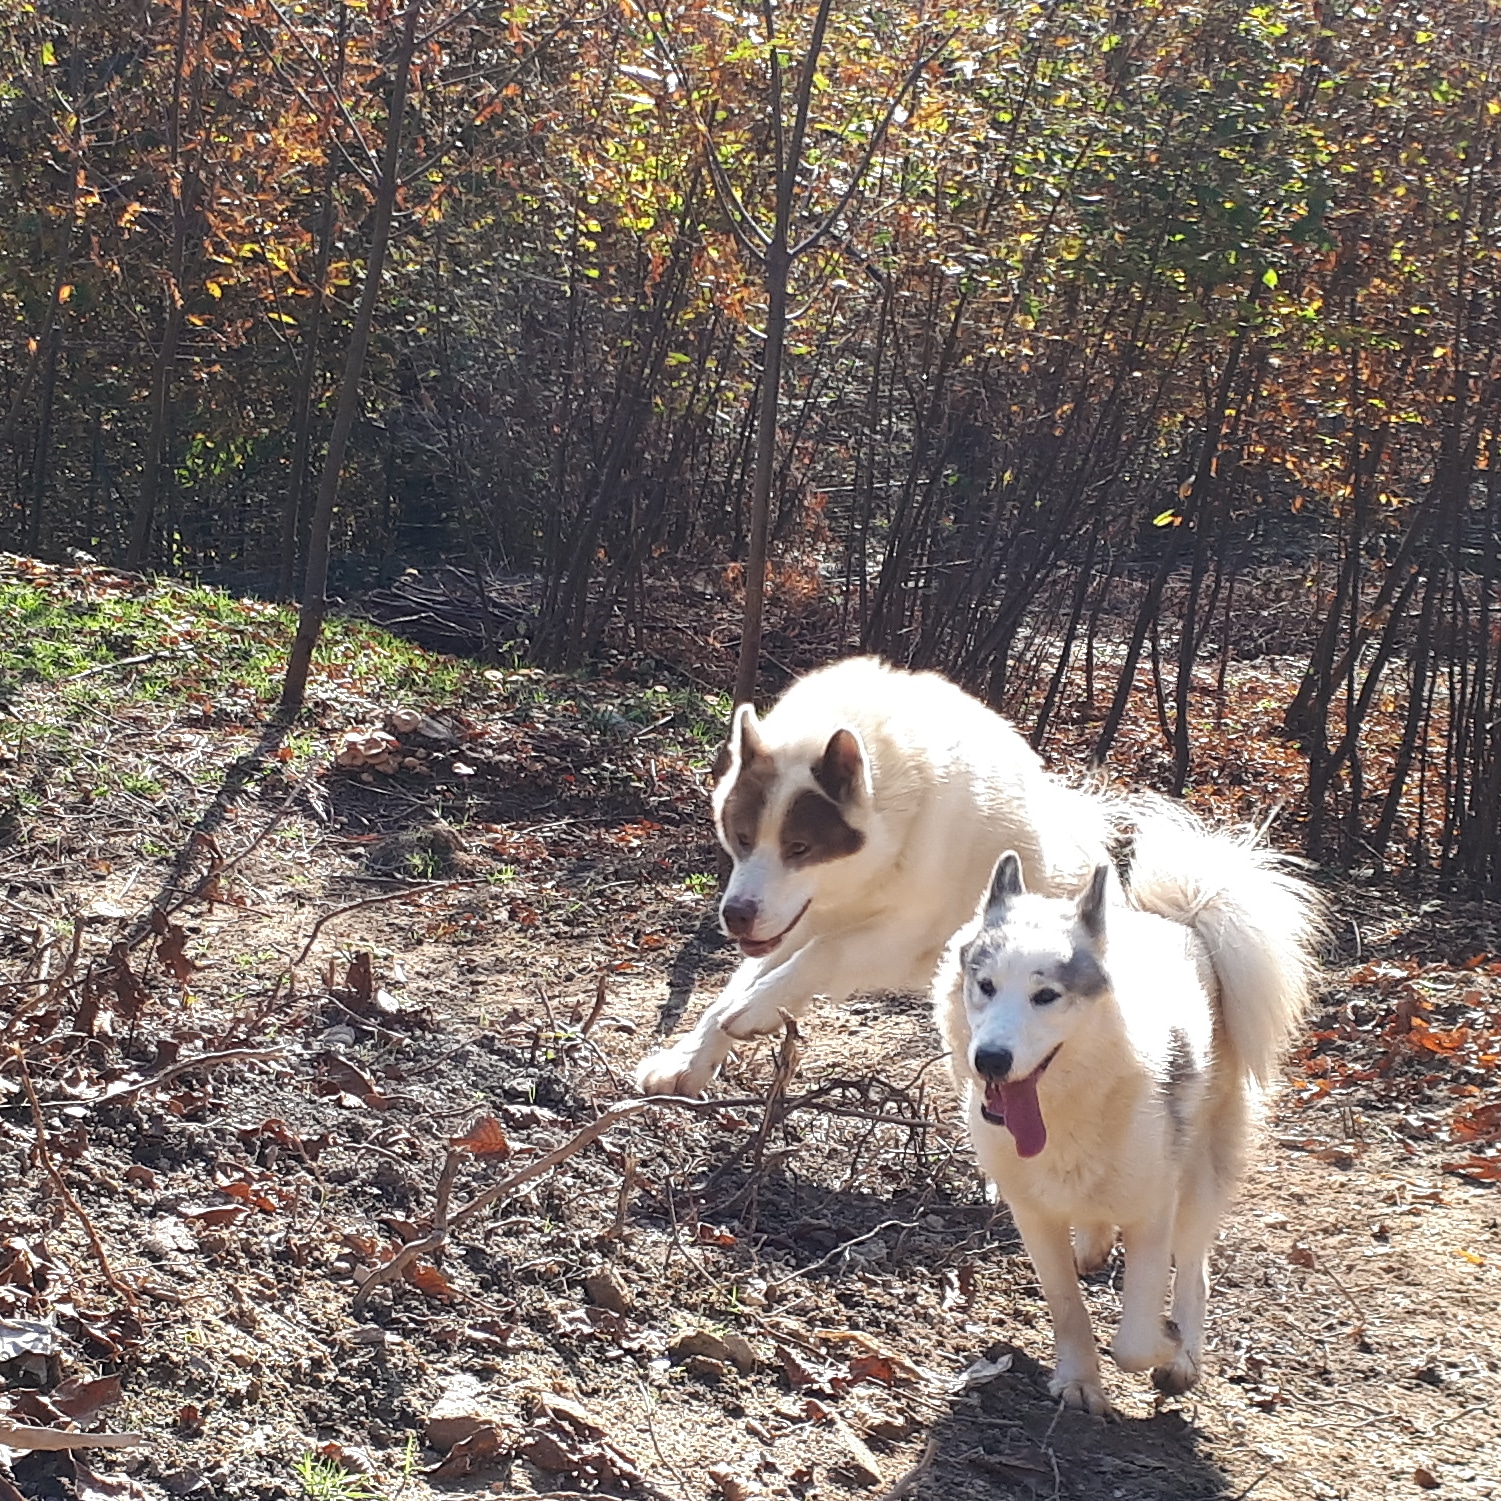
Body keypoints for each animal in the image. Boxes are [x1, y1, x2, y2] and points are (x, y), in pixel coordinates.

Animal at [627, 654, 1110, 1092]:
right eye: (742, 837)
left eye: (799, 848)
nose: (736, 915)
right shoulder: (795, 924)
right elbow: (734, 988)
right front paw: (687, 1061)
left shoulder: (903, 936)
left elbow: (824, 953)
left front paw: (754, 1010)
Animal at [936, 804, 1326, 1410]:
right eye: (985, 985)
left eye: (1046, 996)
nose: (991, 1060)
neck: (1063, 1111)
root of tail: (1185, 924)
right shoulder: (1034, 1215)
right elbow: (1067, 1307)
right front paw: (1078, 1380)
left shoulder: (1153, 1212)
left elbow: (1137, 1338)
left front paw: (1168, 1346)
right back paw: (1095, 1246)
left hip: (1200, 1176)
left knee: (1194, 1272)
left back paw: (1184, 1357)